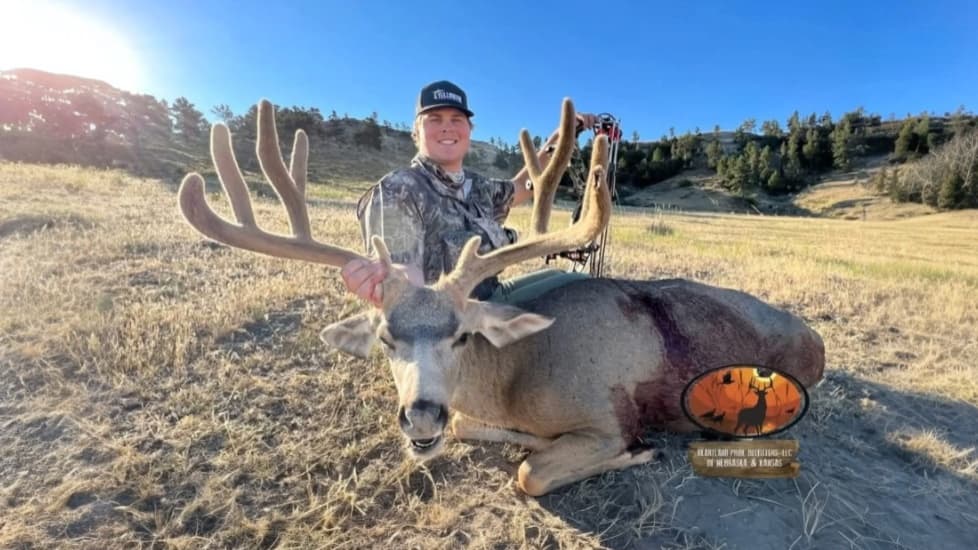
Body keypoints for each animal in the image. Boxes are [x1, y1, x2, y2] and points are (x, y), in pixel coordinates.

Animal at [178, 98, 825, 496]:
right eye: (385, 339)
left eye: (463, 335)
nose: (420, 415)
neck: (517, 373)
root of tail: (818, 341)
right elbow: (474, 429)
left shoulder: (603, 415)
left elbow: (529, 475)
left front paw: (638, 452)